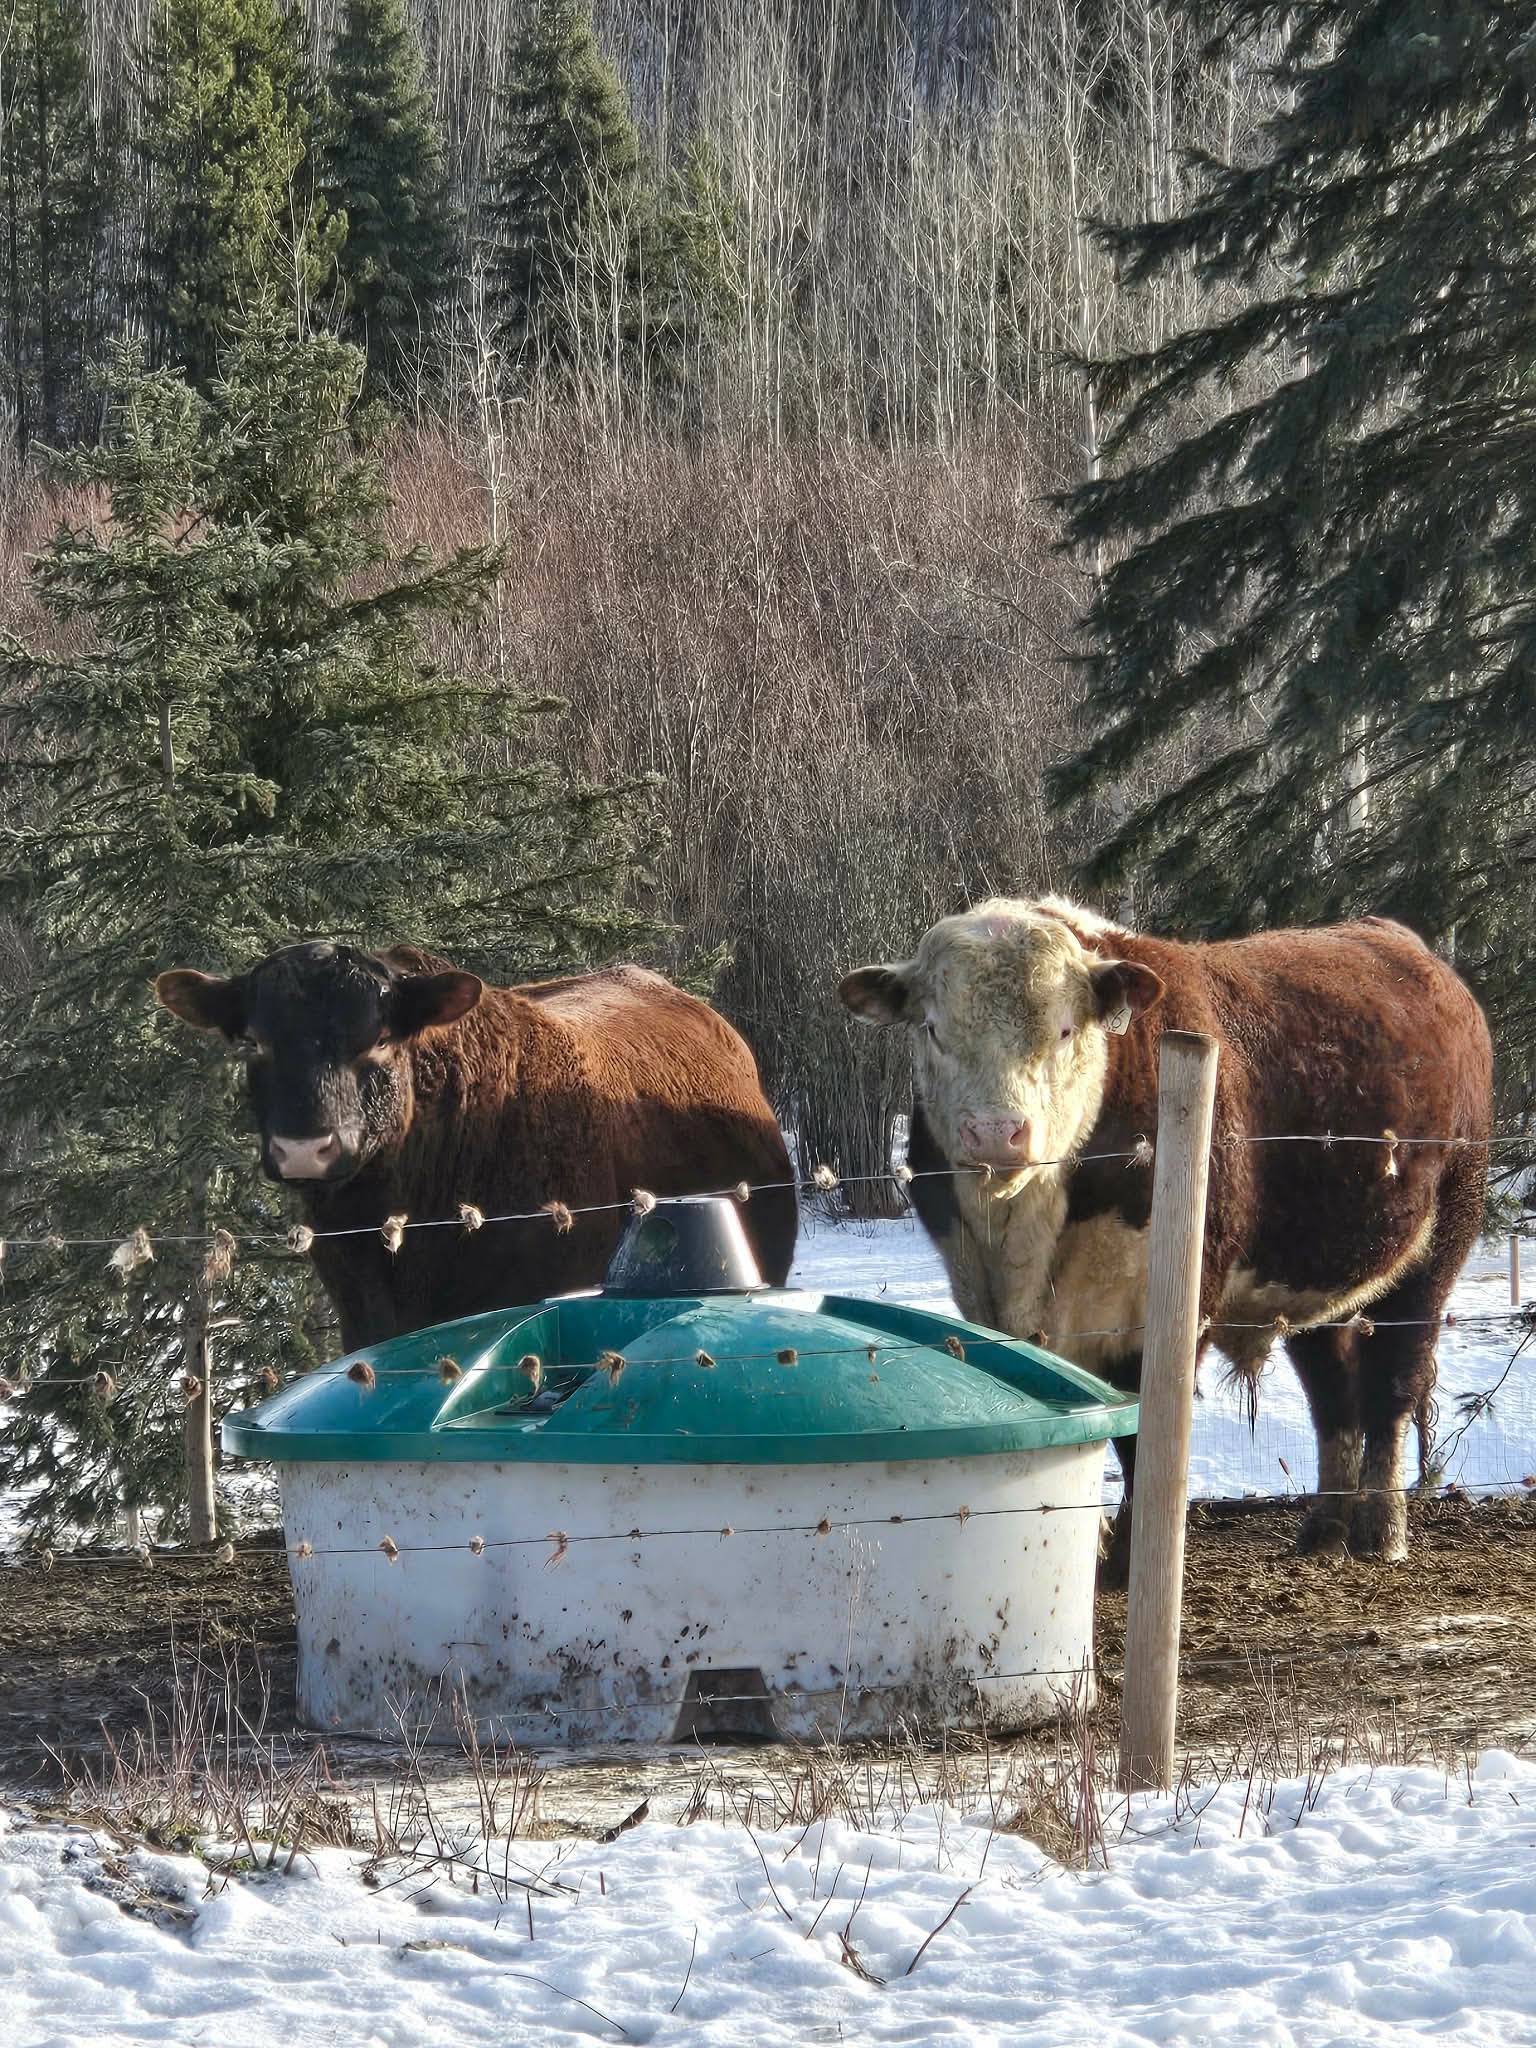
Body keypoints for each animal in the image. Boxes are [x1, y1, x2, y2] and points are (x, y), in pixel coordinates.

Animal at [840, 897, 1492, 1570]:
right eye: (932, 1029)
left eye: (1065, 1029)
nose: (997, 1133)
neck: (1023, 1237)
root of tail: (1400, 942)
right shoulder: (979, 1289)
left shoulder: (1164, 1303)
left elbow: (1140, 1429)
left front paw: (1127, 1556)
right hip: (1316, 1272)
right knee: (1332, 1390)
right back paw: (1325, 1528)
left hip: (1439, 1243)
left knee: (1394, 1381)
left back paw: (1382, 1528)